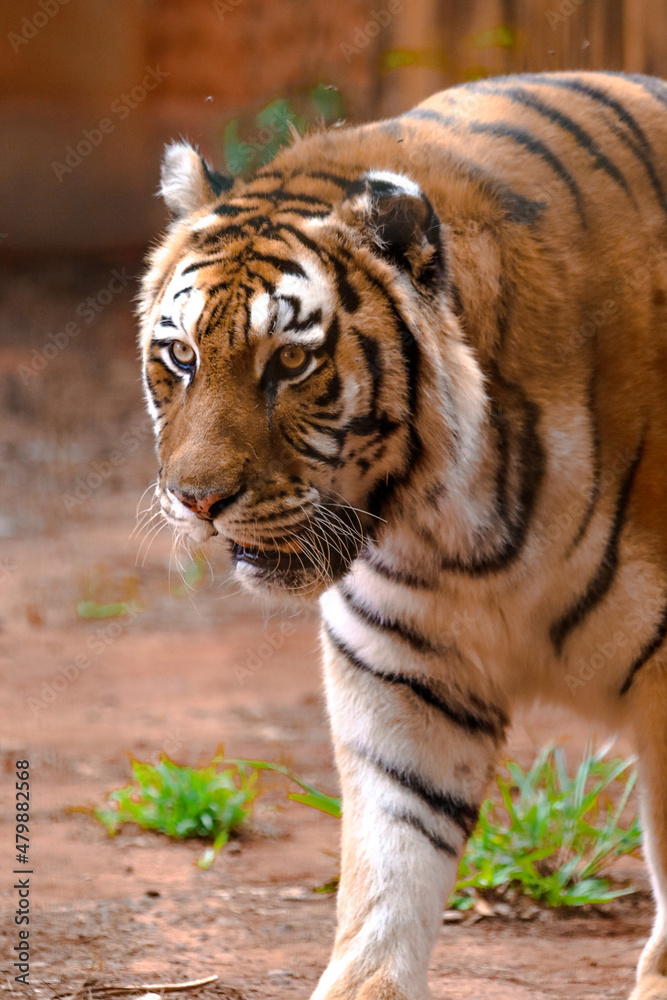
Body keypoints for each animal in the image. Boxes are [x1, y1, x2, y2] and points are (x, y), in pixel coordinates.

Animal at [138, 71, 667, 999]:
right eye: (182, 357)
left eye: (290, 362)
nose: (197, 500)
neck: (456, 526)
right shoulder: (402, 670)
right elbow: (389, 867)